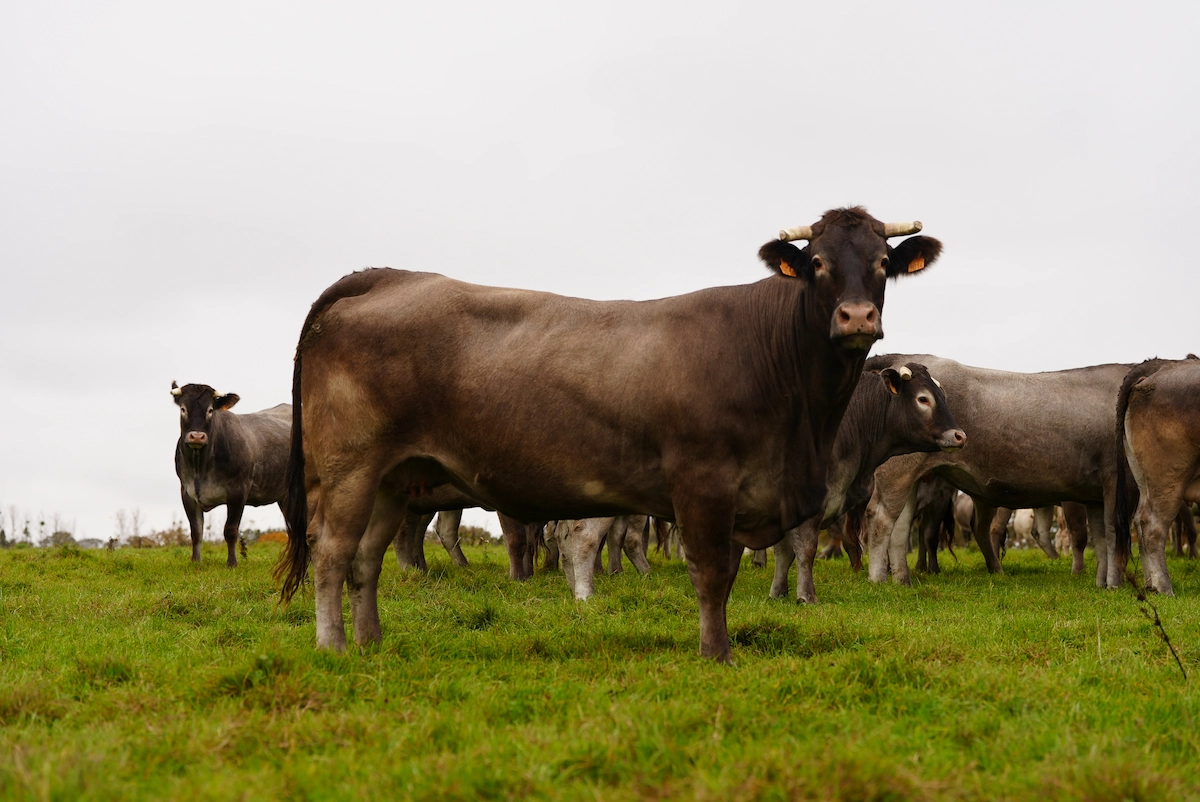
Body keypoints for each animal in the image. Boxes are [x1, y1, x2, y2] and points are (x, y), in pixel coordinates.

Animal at [171, 382, 290, 566]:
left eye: (210, 410)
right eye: (183, 409)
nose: (197, 436)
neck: (200, 467)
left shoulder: (238, 491)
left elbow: (230, 530)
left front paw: (232, 563)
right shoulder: (187, 492)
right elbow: (196, 531)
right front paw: (195, 561)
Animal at [275, 207, 943, 661]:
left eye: (884, 265)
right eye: (819, 265)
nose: (857, 317)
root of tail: (389, 276)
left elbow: (727, 570)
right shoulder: (703, 480)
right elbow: (711, 573)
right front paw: (717, 655)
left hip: (393, 476)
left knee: (366, 557)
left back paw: (371, 642)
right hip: (349, 467)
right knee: (332, 552)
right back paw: (334, 648)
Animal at [770, 363, 965, 601]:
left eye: (943, 396)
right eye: (923, 399)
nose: (960, 436)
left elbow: (784, 551)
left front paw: (778, 593)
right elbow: (804, 548)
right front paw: (807, 596)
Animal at [859, 356, 1132, 589]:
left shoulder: (1095, 493)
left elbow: (1101, 536)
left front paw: (1103, 581)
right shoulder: (1110, 481)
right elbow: (1110, 532)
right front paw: (1112, 583)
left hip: (910, 479)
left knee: (902, 526)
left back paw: (903, 580)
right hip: (898, 474)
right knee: (881, 518)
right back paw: (878, 579)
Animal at [1115, 356, 1200, 595]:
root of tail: (1162, 364)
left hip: (1145, 480)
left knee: (1139, 521)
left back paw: (1151, 584)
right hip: (1169, 474)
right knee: (1152, 525)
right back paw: (1163, 587)